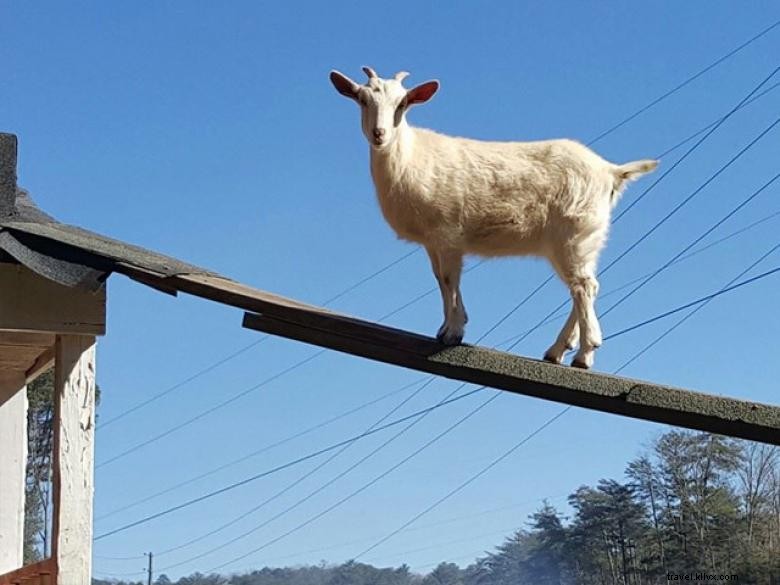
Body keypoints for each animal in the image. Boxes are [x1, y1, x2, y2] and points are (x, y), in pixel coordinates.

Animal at [329, 66, 657, 369]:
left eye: (403, 103)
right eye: (362, 99)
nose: (379, 134)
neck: (411, 156)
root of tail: (610, 170)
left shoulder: (447, 232)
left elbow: (449, 279)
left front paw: (453, 332)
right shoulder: (433, 241)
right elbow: (440, 279)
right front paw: (447, 328)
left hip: (573, 233)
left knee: (584, 286)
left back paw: (585, 354)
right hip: (586, 239)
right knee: (586, 286)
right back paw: (557, 351)